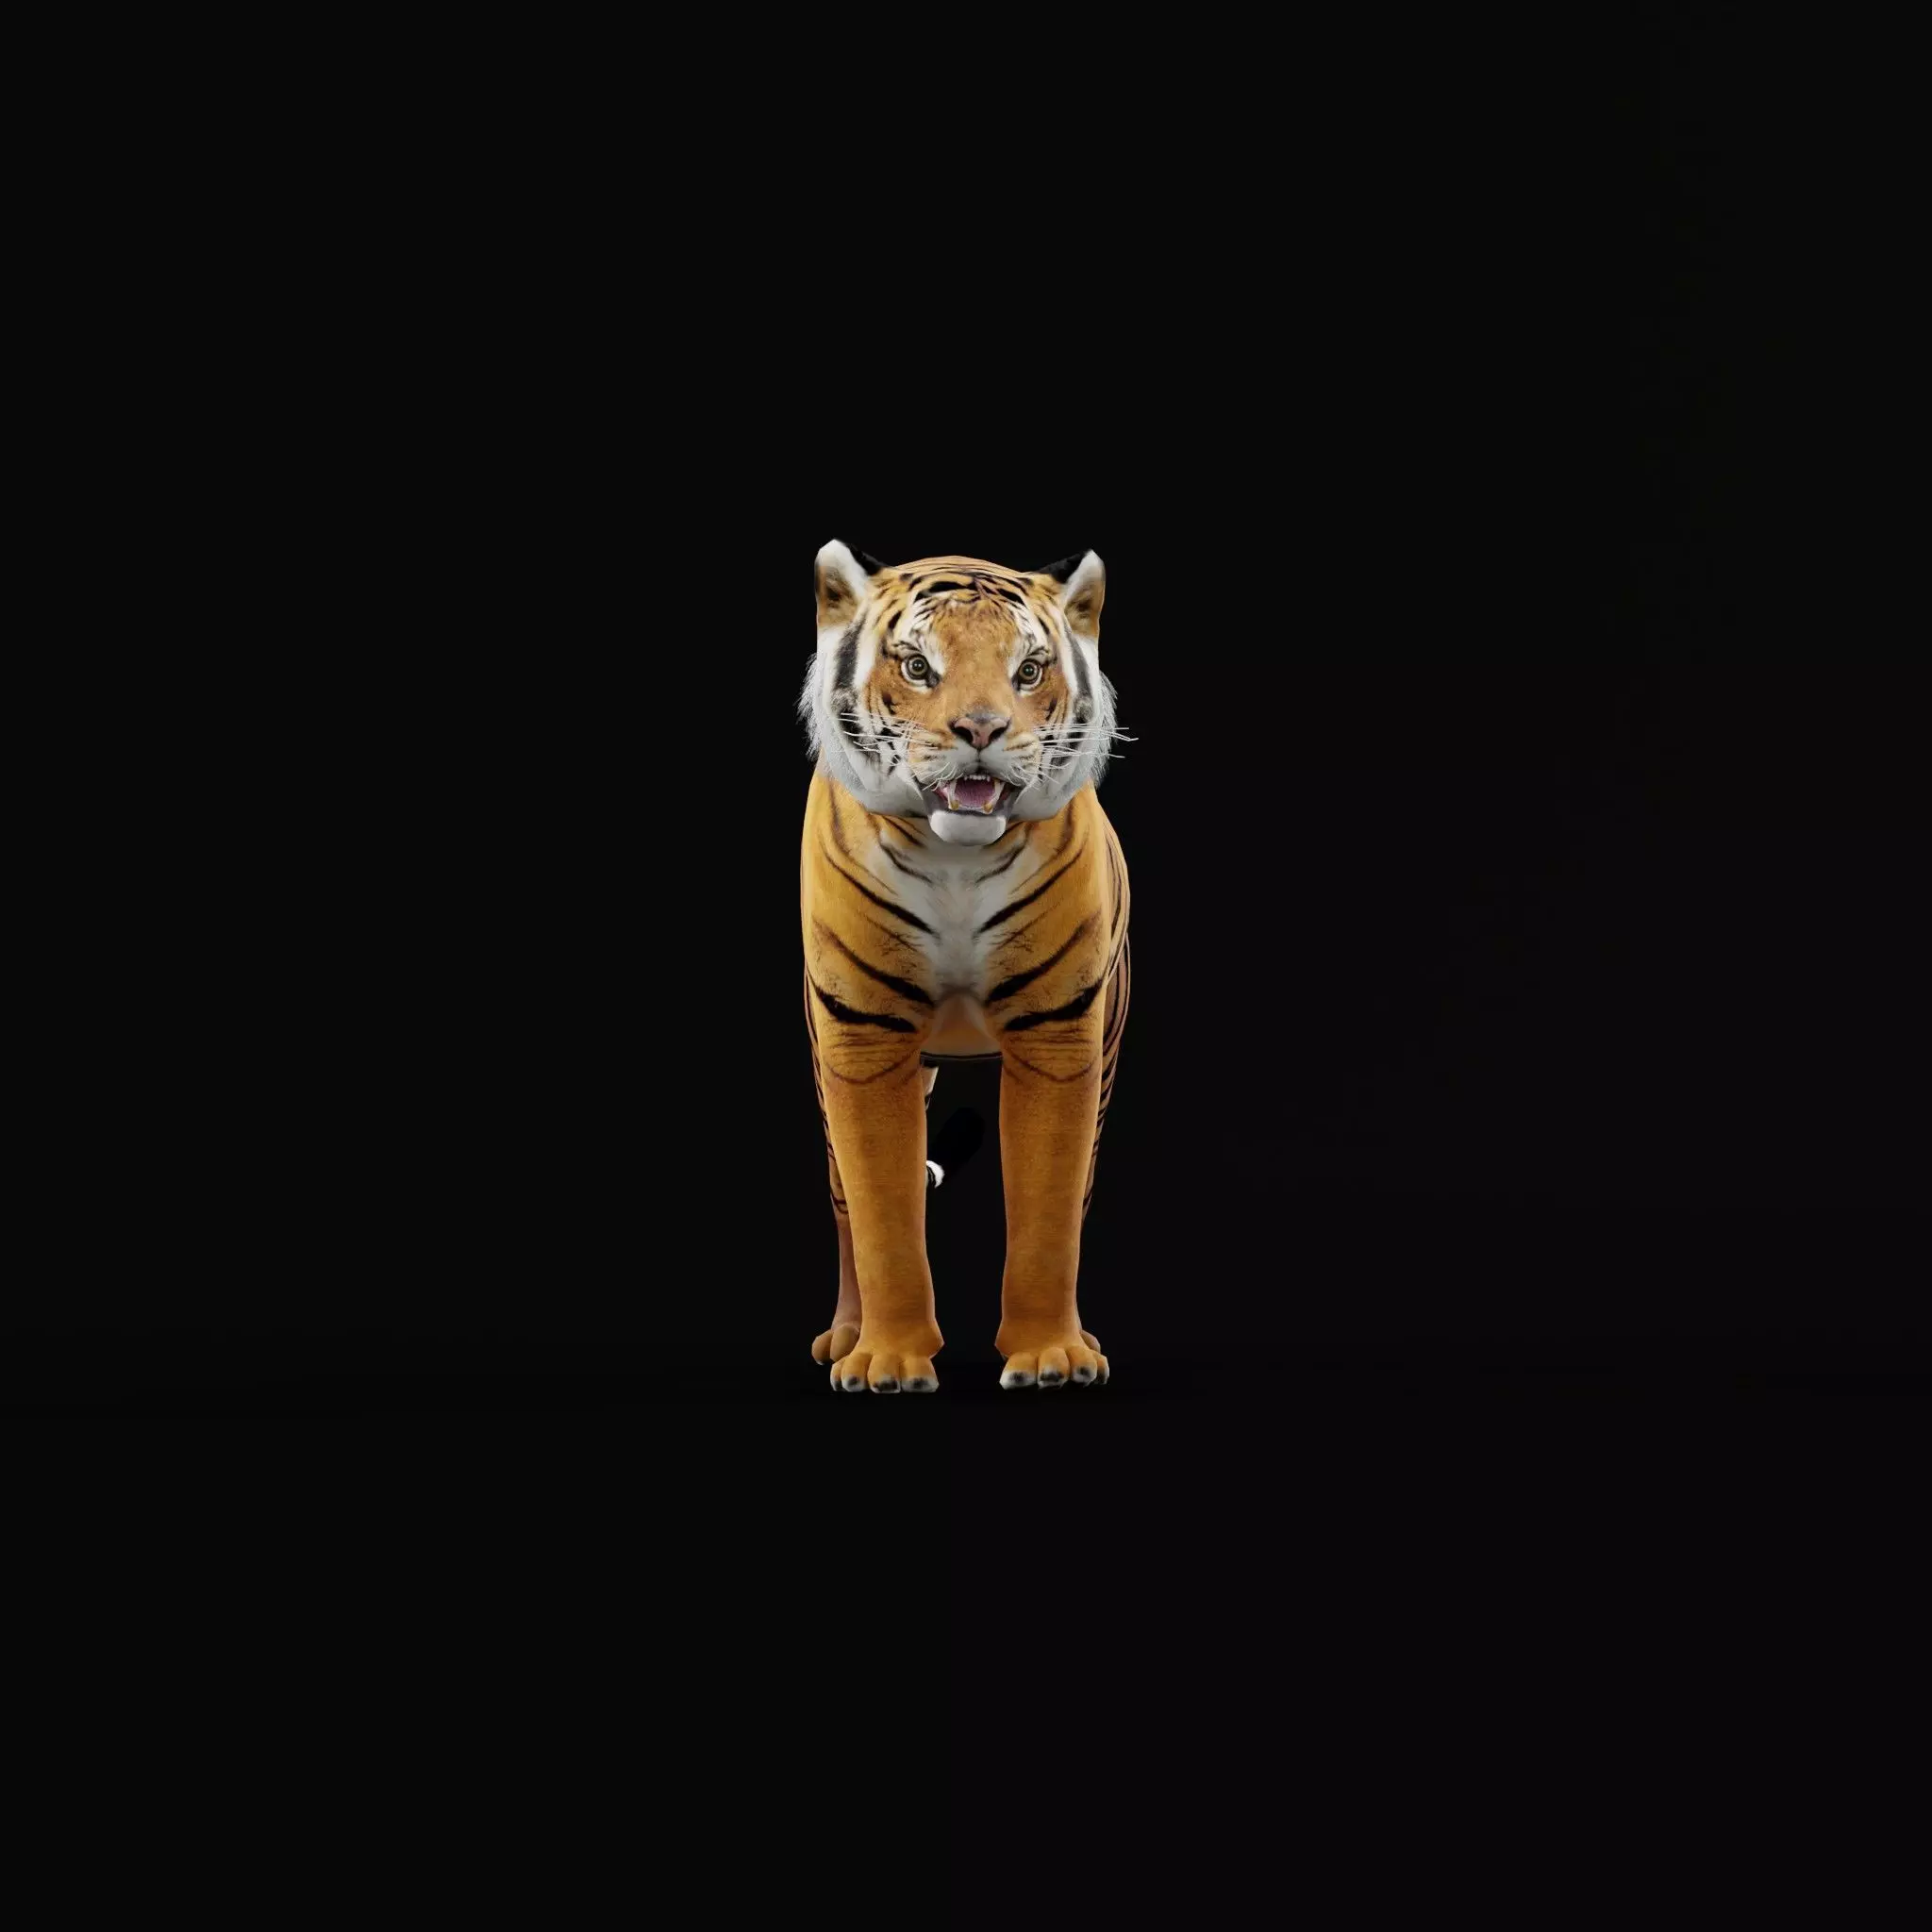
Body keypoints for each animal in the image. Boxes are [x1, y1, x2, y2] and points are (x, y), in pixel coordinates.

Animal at [798, 541, 1131, 1394]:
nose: (980, 728)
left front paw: (1051, 1357)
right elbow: (881, 1214)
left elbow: (1050, 1209)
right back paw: (843, 1336)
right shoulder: (863, 1038)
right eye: (918, 666)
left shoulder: (1058, 1036)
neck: (955, 858)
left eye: (1029, 670)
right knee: (841, 1201)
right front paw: (887, 1360)